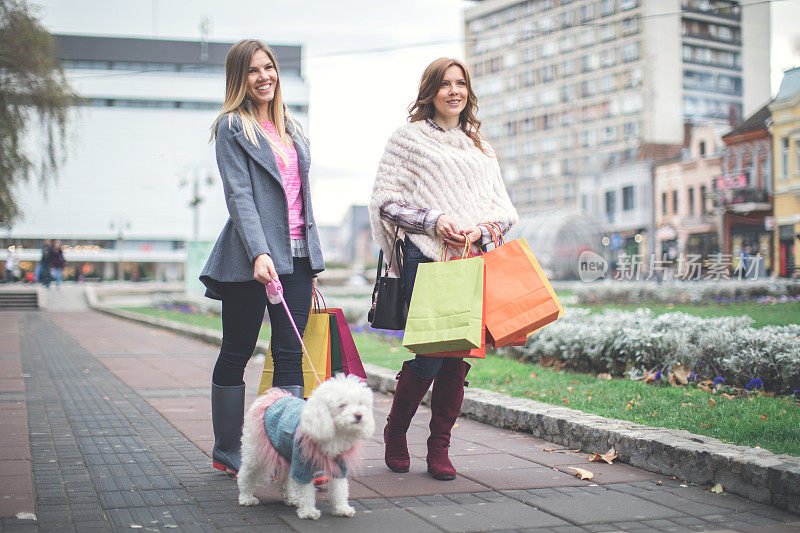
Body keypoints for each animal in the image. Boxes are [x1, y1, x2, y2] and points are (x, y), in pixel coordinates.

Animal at [238, 372, 376, 516]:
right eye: (342, 405)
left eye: (360, 403)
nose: (359, 415)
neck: (334, 433)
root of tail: (272, 397)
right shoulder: (302, 465)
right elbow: (306, 491)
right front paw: (309, 511)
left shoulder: (339, 464)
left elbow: (340, 489)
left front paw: (341, 508)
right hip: (255, 451)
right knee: (246, 475)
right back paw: (246, 497)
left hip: (286, 454)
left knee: (285, 480)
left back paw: (290, 497)